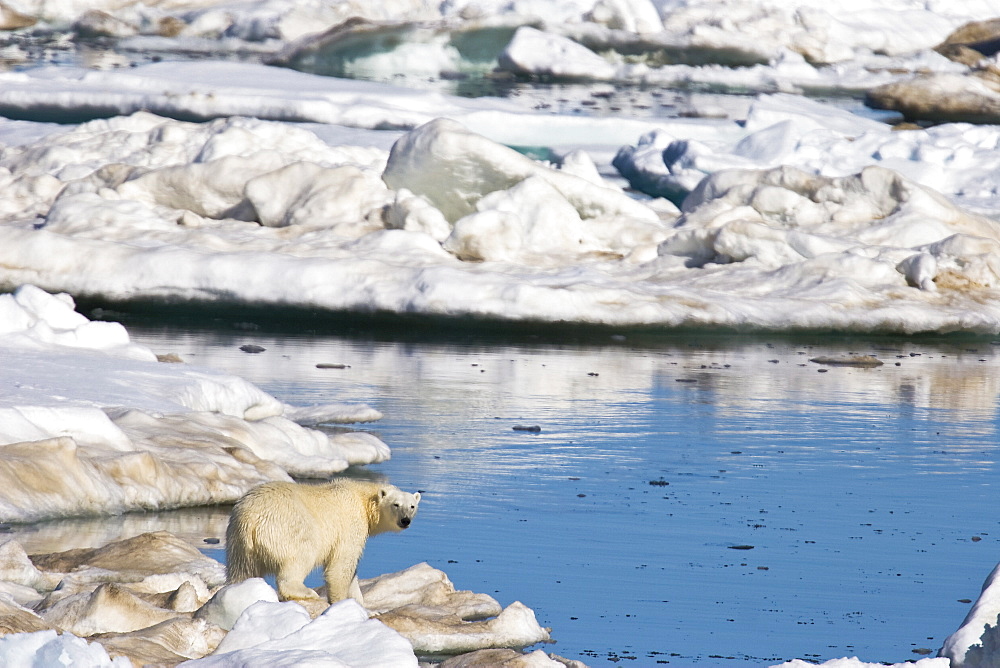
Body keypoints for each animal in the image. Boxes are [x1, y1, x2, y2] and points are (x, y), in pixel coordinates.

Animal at [225, 478, 420, 604]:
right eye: (396, 504)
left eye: (412, 506)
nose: (405, 520)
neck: (361, 497)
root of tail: (251, 517)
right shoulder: (351, 525)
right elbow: (341, 567)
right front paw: (341, 602)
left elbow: (351, 573)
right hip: (289, 528)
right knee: (301, 557)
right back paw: (306, 592)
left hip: (238, 541)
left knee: (242, 570)